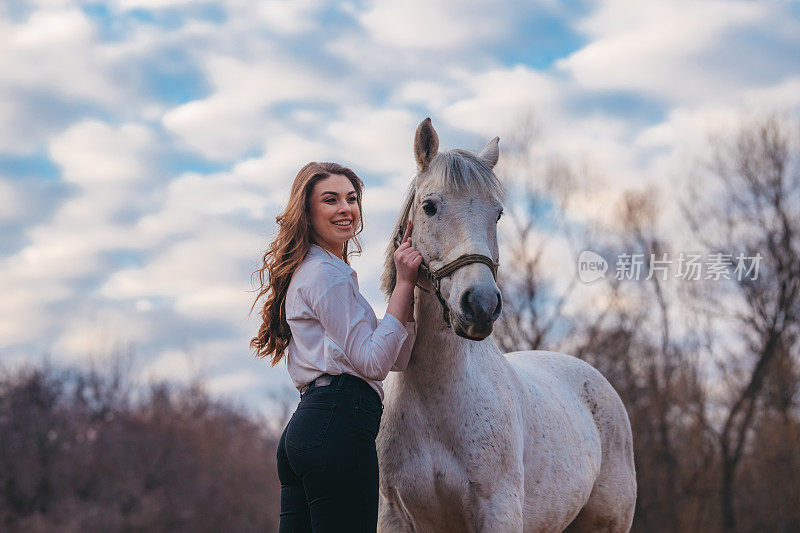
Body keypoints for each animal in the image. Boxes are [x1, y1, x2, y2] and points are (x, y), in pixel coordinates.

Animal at [376, 118, 636, 528]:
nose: (481, 305)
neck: (435, 396)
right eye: (429, 207)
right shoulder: (394, 516)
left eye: (496, 213)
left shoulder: (498, 511)